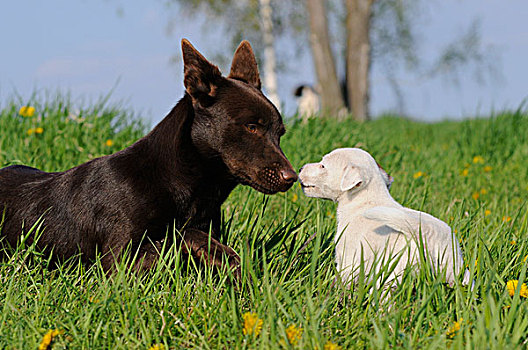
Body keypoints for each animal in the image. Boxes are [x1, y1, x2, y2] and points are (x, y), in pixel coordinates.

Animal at [300, 148, 472, 288]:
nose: (300, 168)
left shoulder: (348, 260)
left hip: (392, 275)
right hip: (455, 271)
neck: (363, 201)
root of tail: (427, 234)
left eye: (323, 166)